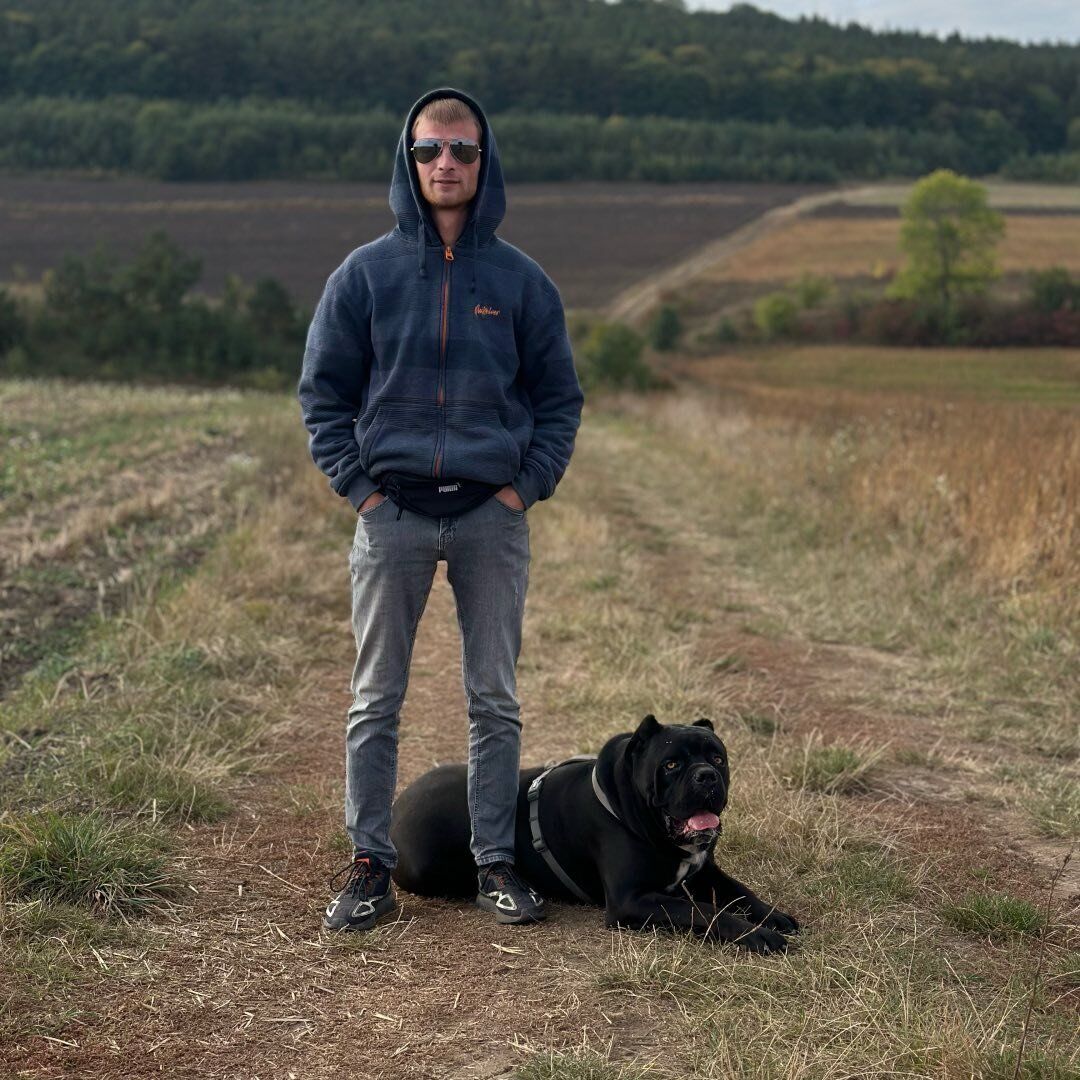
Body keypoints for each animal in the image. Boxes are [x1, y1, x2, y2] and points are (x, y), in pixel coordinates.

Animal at [393, 717, 799, 954]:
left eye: (718, 759)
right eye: (671, 764)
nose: (706, 776)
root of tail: (398, 805)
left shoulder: (705, 871)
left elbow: (741, 893)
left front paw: (774, 917)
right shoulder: (631, 899)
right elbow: (704, 911)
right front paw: (757, 935)